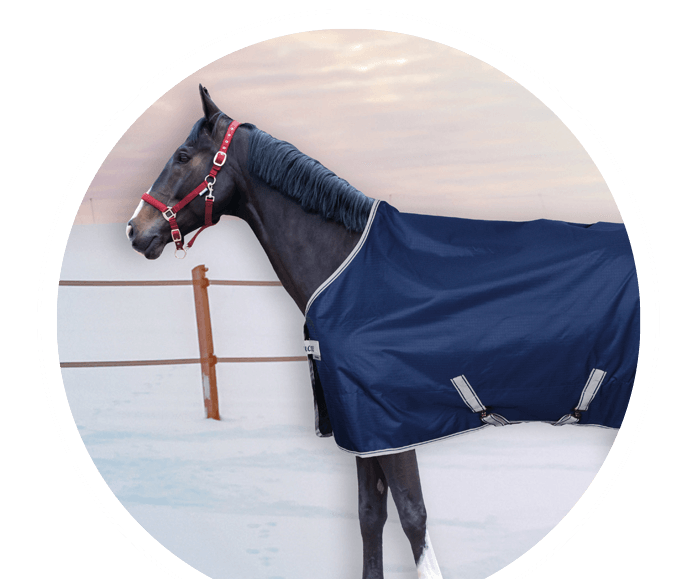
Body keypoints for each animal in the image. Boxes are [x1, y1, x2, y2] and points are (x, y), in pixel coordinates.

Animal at [126, 85, 639, 579]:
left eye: (182, 156)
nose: (135, 229)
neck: (346, 267)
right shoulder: (362, 428)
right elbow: (370, 515)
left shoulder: (391, 423)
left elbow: (414, 518)